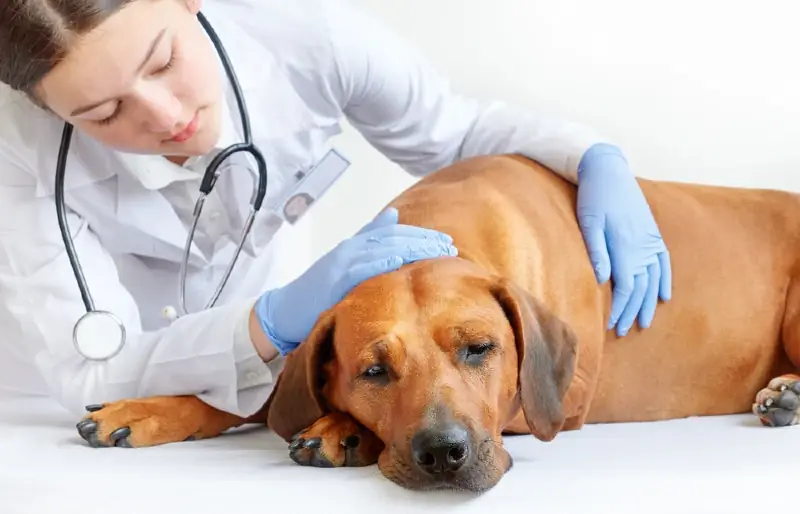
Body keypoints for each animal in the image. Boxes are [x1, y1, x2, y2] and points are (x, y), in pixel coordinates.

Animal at [76, 153, 800, 492]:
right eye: (374, 370)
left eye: (480, 349)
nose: (442, 454)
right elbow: (251, 392)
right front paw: (146, 408)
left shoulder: (559, 404)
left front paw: (339, 429)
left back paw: (787, 393)